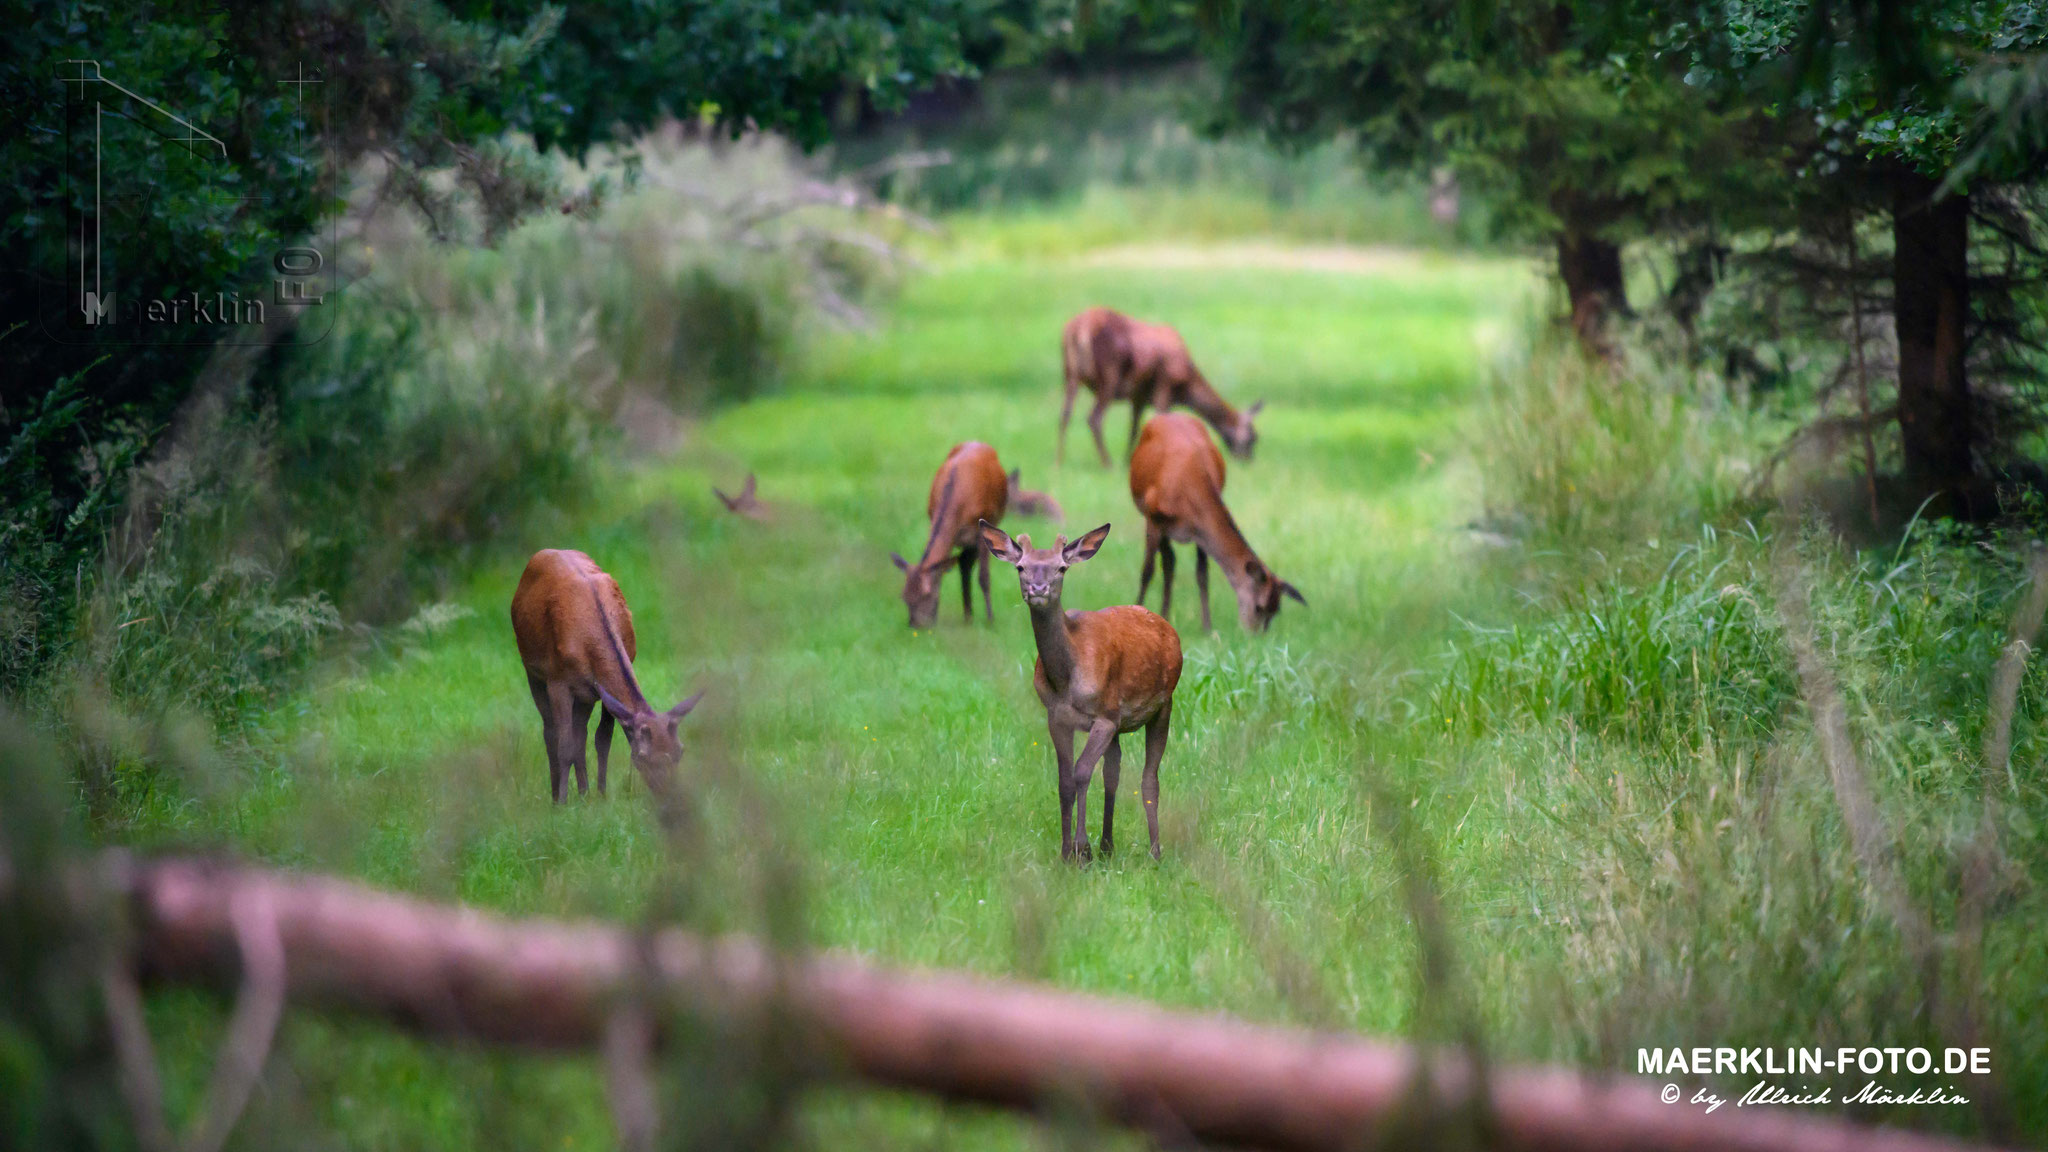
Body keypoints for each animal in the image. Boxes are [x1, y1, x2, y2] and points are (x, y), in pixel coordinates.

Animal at [512, 545, 704, 799]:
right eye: (642, 757)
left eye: (680, 751)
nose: (673, 796)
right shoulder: (557, 680)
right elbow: (564, 745)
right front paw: (562, 802)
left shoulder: (604, 685)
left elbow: (602, 739)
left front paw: (602, 796)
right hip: (532, 670)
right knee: (550, 731)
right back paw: (557, 795)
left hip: (585, 693)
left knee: (580, 734)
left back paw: (584, 794)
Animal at [892, 438, 1011, 623]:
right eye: (904, 596)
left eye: (927, 594)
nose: (916, 626)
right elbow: (944, 567)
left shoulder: (983, 528)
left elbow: (984, 577)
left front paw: (991, 620)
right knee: (964, 563)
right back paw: (968, 616)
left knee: (966, 563)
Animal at [978, 516, 1187, 856]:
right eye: (1020, 567)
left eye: (1061, 568)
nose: (1038, 588)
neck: (1065, 682)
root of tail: (1168, 627)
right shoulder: (1057, 717)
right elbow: (1065, 780)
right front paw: (1067, 852)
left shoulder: (1104, 716)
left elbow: (1081, 773)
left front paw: (1081, 849)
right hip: (1120, 722)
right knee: (1113, 771)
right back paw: (1107, 846)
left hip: (1162, 704)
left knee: (1149, 778)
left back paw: (1154, 851)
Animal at [1056, 307, 1261, 469]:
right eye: (1252, 438)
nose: (1249, 462)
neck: (1185, 388)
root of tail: (1078, 329)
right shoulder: (1164, 387)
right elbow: (1162, 424)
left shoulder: (1138, 396)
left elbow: (1134, 429)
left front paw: (1128, 462)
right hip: (1109, 376)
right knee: (1094, 418)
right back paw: (1107, 464)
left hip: (1069, 374)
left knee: (1065, 414)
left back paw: (1059, 461)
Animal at [1130, 409, 1302, 631]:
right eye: (1259, 607)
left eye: (1276, 610)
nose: (1255, 635)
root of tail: (1168, 414)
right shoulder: (1153, 516)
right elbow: (1147, 571)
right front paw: (1136, 609)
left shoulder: (1199, 530)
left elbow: (1202, 574)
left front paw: (1207, 626)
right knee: (1166, 562)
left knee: (1170, 562)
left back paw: (1165, 614)